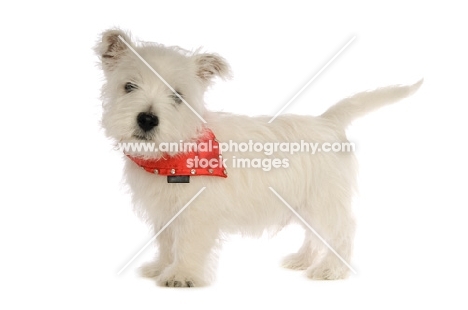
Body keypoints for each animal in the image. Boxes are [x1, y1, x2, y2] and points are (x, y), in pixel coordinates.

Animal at [96, 29, 424, 288]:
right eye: (129, 86)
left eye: (178, 96)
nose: (147, 119)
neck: (174, 152)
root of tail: (328, 121)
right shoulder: (166, 211)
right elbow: (167, 242)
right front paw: (162, 266)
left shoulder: (196, 213)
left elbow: (187, 243)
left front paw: (182, 275)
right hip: (305, 202)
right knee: (315, 234)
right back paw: (303, 259)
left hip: (324, 200)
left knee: (342, 231)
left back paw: (331, 269)